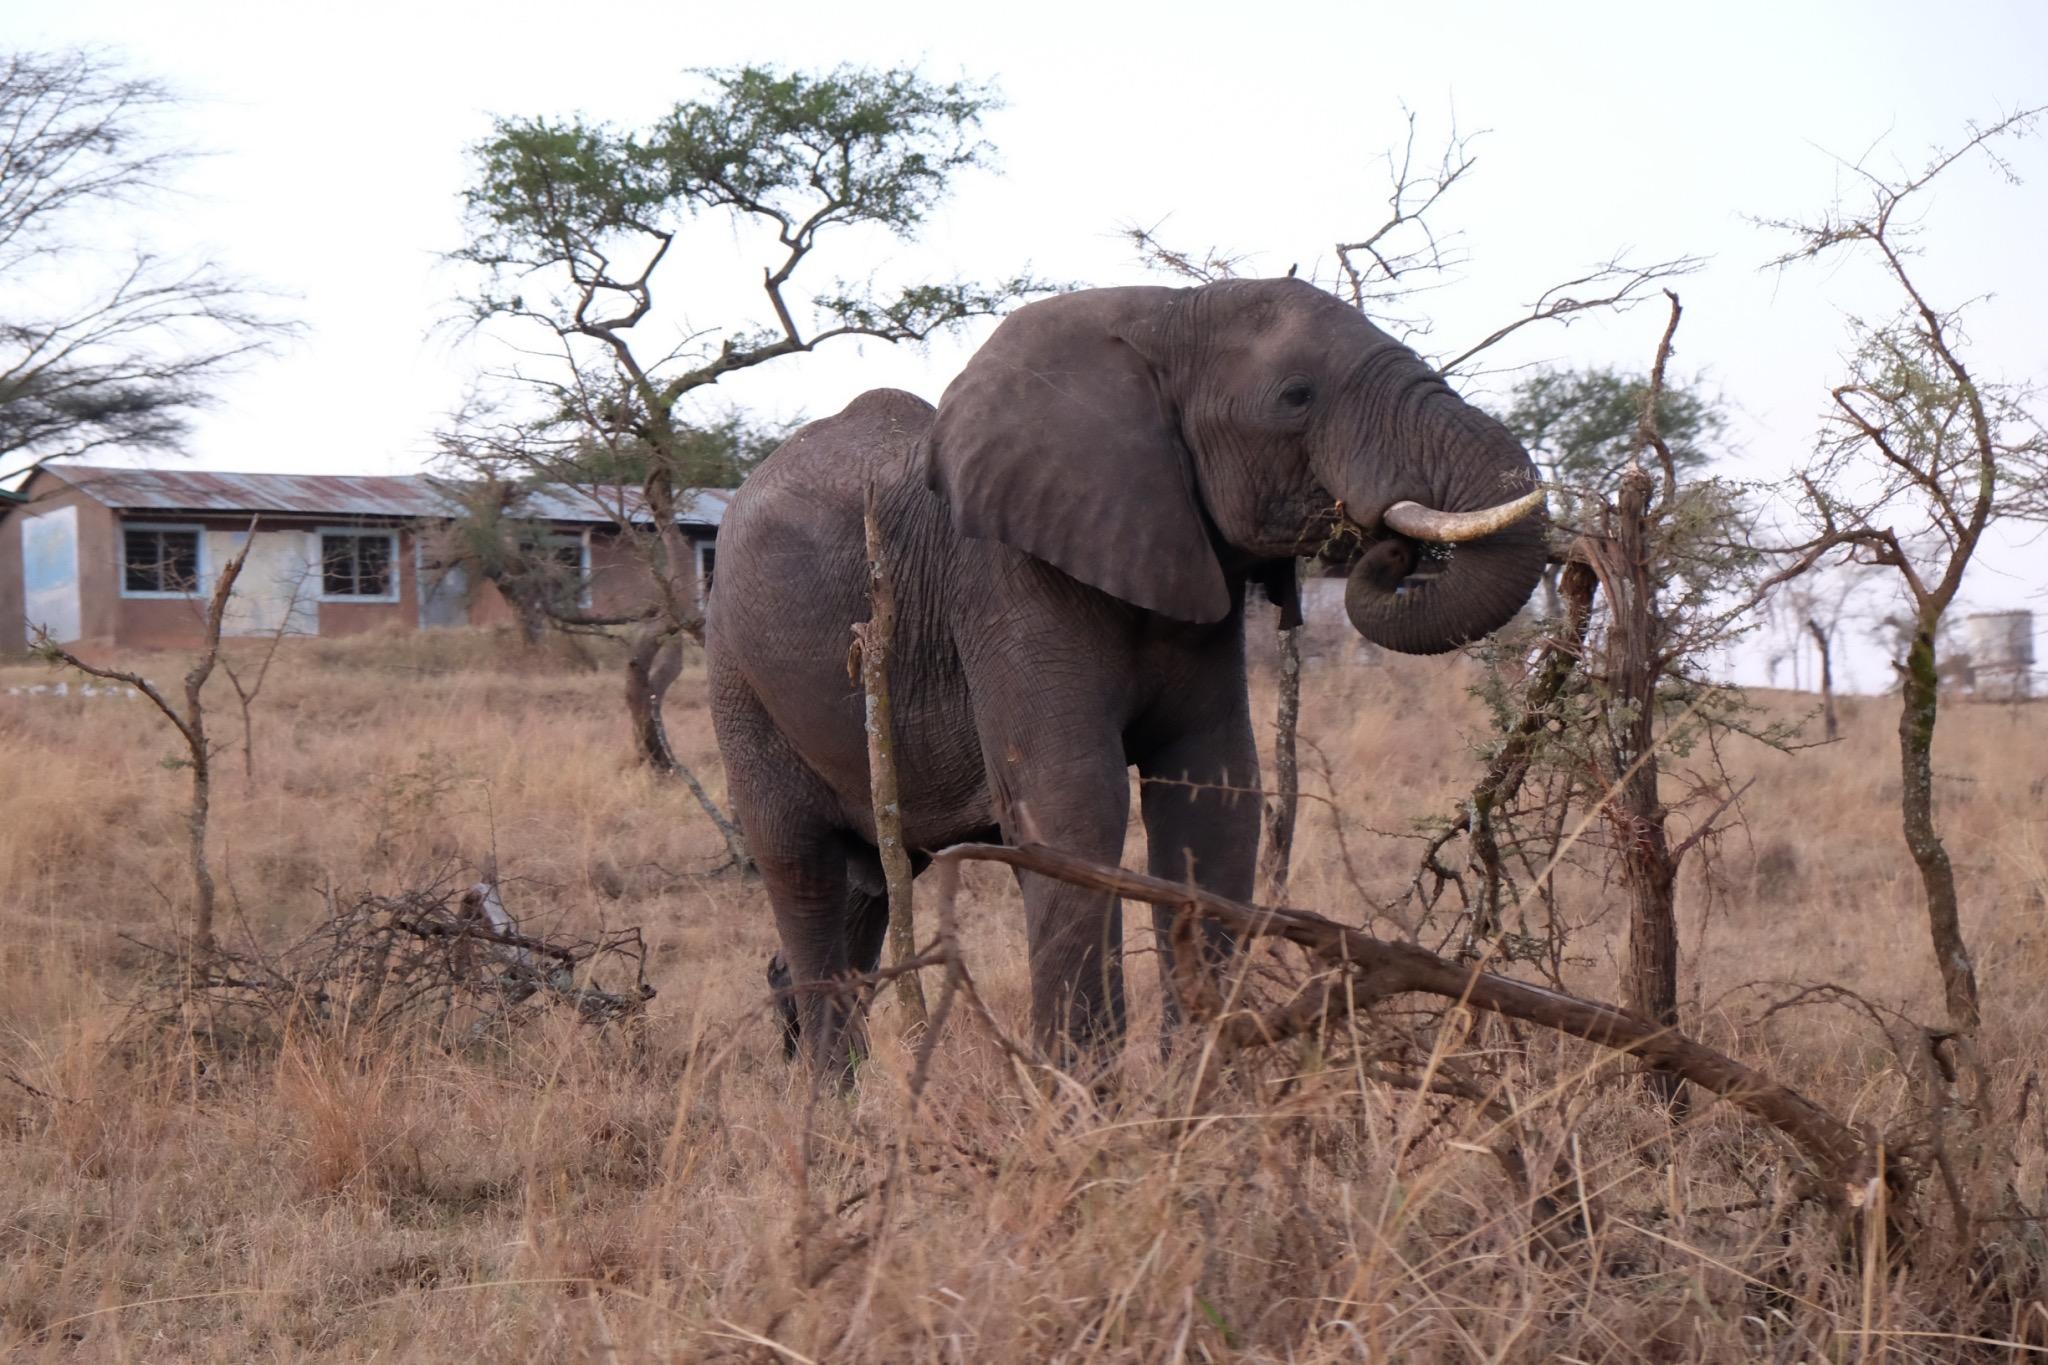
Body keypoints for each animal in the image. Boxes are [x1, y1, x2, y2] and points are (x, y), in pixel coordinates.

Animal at [712, 280, 1540, 1080]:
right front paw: (1084, 1106)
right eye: (1296, 396)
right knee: (803, 868)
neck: (1167, 313)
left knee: (867, 886)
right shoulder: (1008, 579)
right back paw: (828, 1102)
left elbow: (1215, 796)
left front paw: (1202, 1096)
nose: (1384, 547)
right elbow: (1077, 804)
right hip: (738, 673)